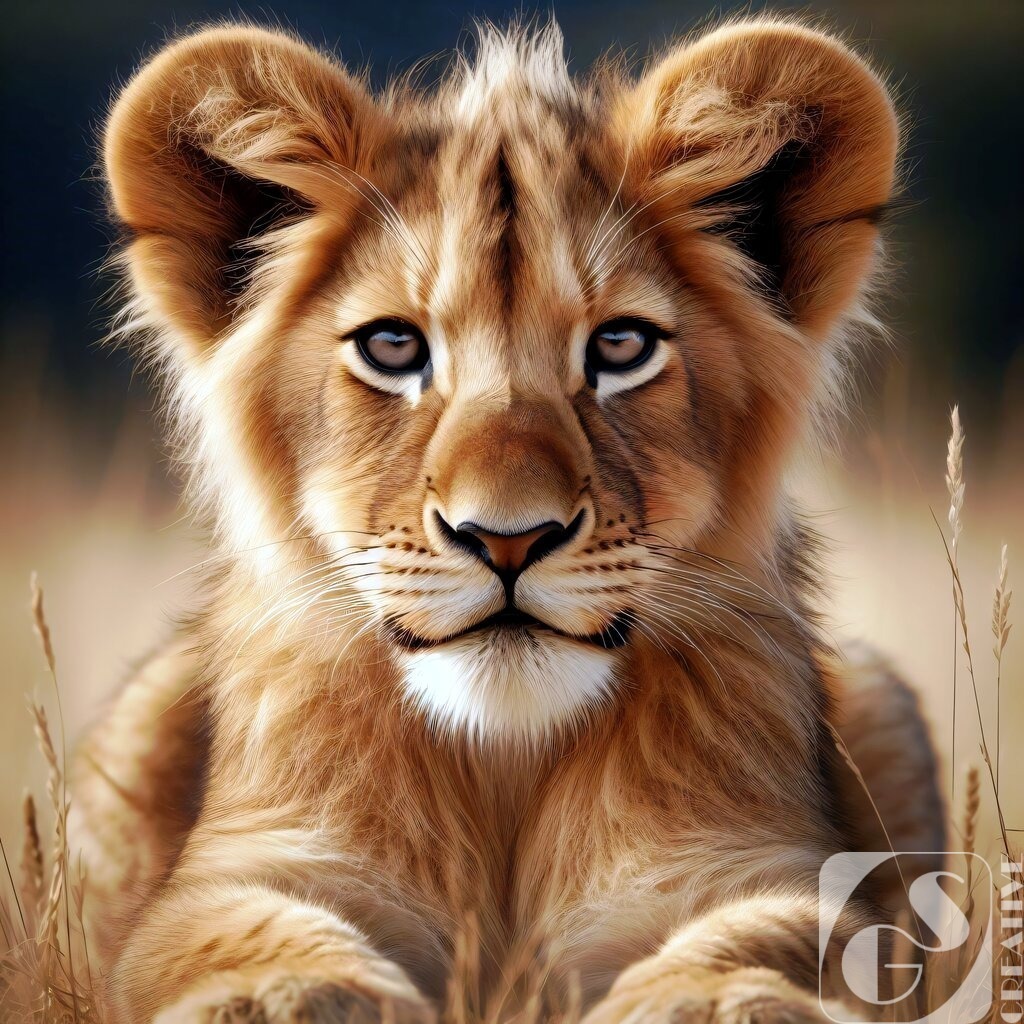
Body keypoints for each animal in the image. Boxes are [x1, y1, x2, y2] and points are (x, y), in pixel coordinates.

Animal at [69, 17, 944, 1024]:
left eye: (621, 345)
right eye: (393, 346)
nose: (508, 539)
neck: (505, 764)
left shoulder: (752, 868)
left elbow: (781, 932)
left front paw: (713, 1002)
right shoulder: (248, 866)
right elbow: (238, 930)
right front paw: (284, 995)